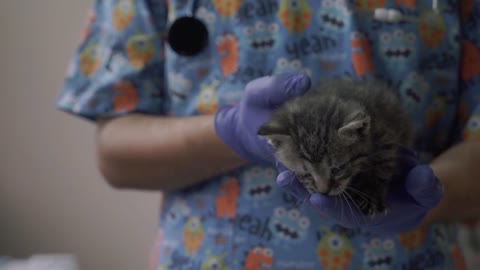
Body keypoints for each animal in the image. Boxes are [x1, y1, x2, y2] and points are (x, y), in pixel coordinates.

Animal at [258, 77, 412, 215]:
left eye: (338, 169)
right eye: (305, 174)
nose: (323, 192)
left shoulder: (383, 134)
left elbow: (381, 162)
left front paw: (371, 193)